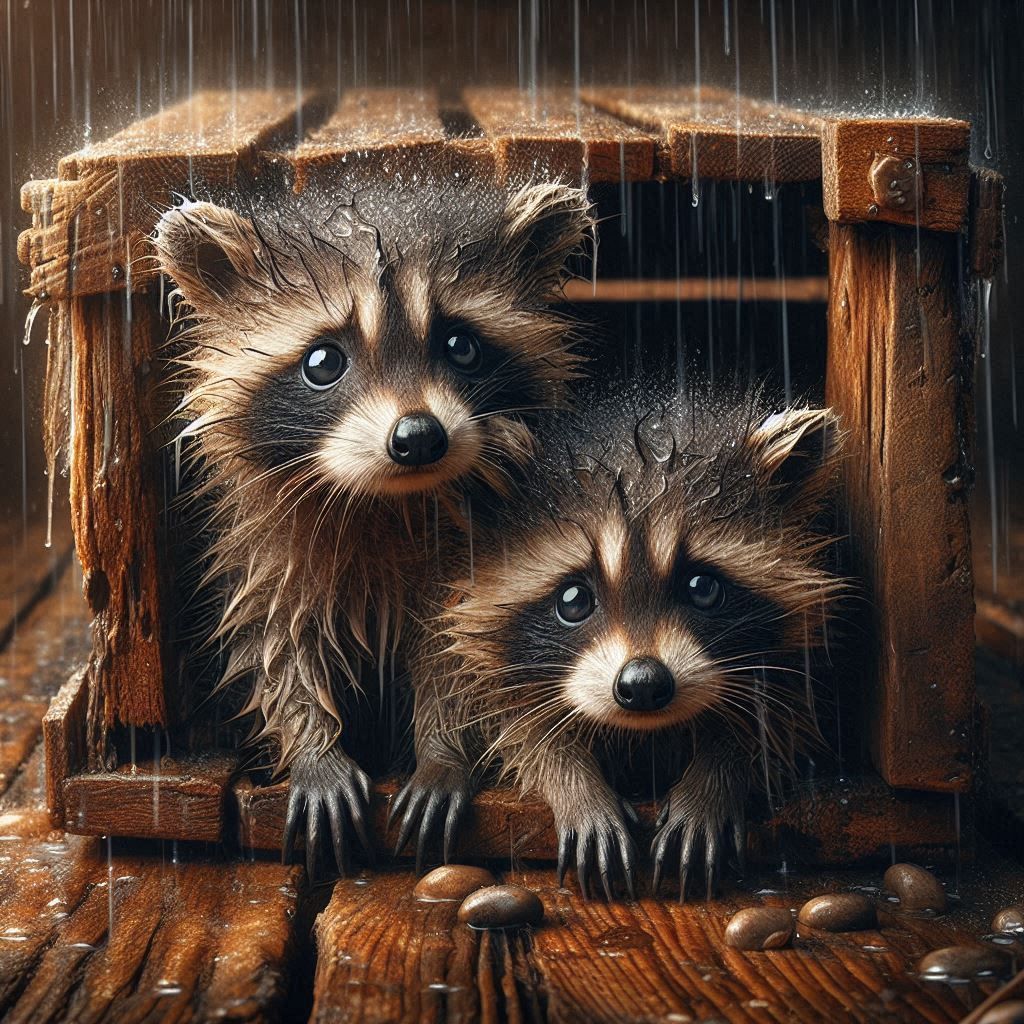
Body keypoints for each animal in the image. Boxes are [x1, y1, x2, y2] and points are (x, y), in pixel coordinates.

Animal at [153, 173, 593, 874]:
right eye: (322, 362)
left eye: (460, 345)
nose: (418, 437)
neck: (385, 499)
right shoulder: (263, 550)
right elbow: (274, 642)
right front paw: (313, 746)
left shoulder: (474, 562)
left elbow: (458, 655)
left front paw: (444, 751)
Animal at [447, 380, 845, 899]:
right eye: (573, 599)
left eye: (702, 587)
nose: (643, 684)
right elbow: (522, 728)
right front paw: (575, 784)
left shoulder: (795, 655)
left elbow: (774, 716)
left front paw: (714, 779)